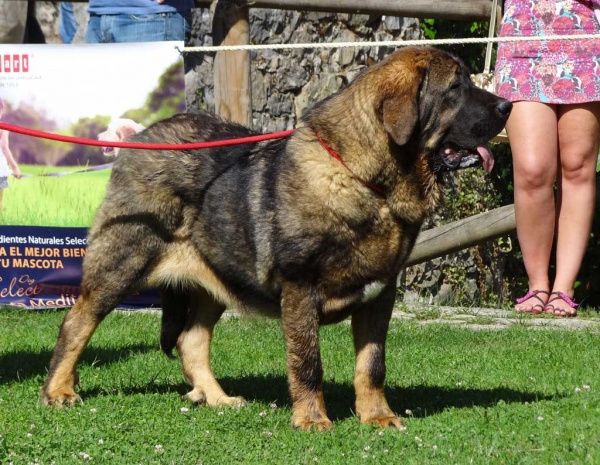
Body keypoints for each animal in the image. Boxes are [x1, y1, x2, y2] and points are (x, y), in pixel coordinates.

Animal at [42, 46, 510, 428]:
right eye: (455, 88)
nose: (508, 104)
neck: (367, 181)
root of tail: (141, 139)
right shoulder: (300, 288)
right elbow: (308, 362)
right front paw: (313, 420)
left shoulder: (380, 294)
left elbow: (372, 364)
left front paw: (377, 416)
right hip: (123, 262)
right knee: (77, 322)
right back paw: (60, 391)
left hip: (214, 277)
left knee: (192, 340)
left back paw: (218, 398)